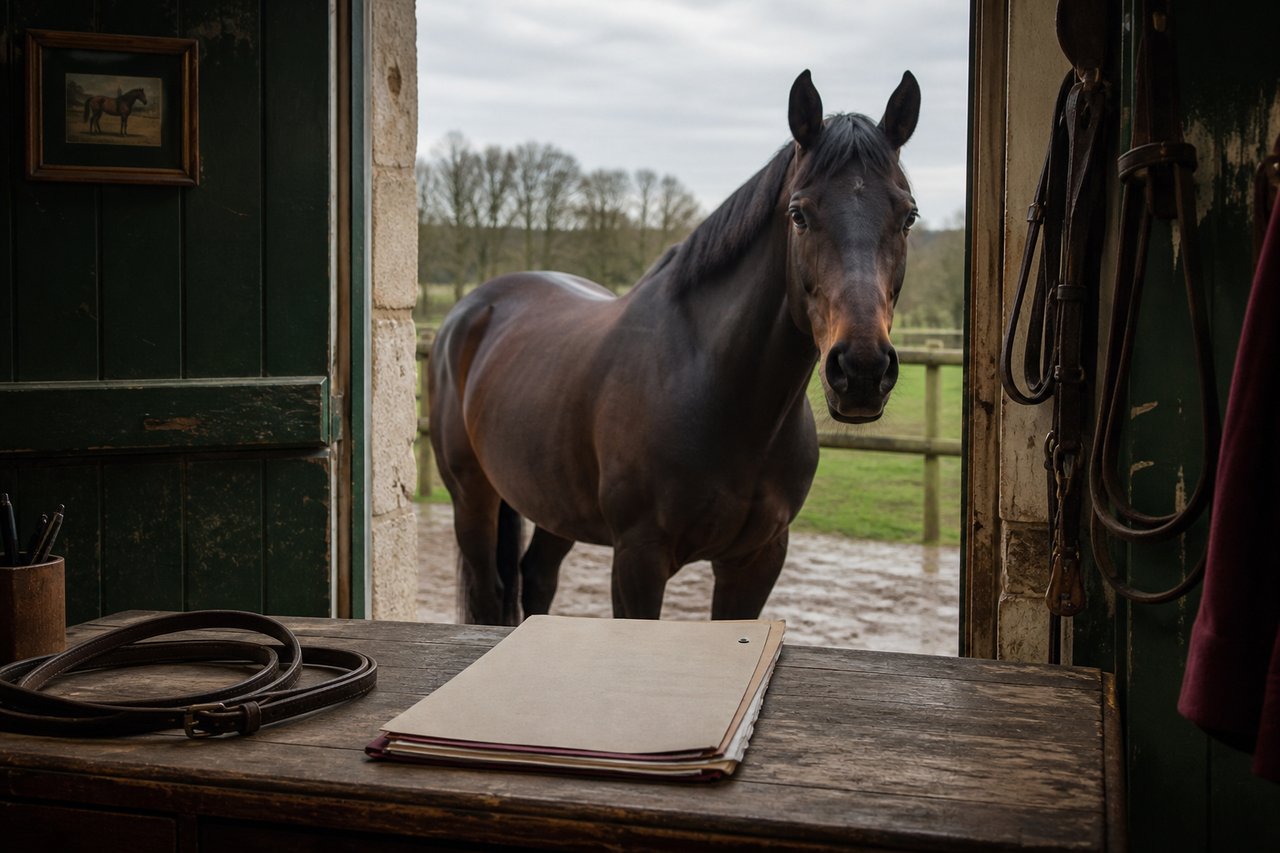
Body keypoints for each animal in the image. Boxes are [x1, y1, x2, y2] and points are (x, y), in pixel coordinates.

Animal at [429, 69, 921, 625]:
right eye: (799, 214)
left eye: (908, 216)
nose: (861, 370)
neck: (720, 393)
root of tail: (471, 310)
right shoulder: (638, 559)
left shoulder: (757, 560)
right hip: (472, 498)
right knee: (489, 593)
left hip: (554, 503)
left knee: (537, 578)